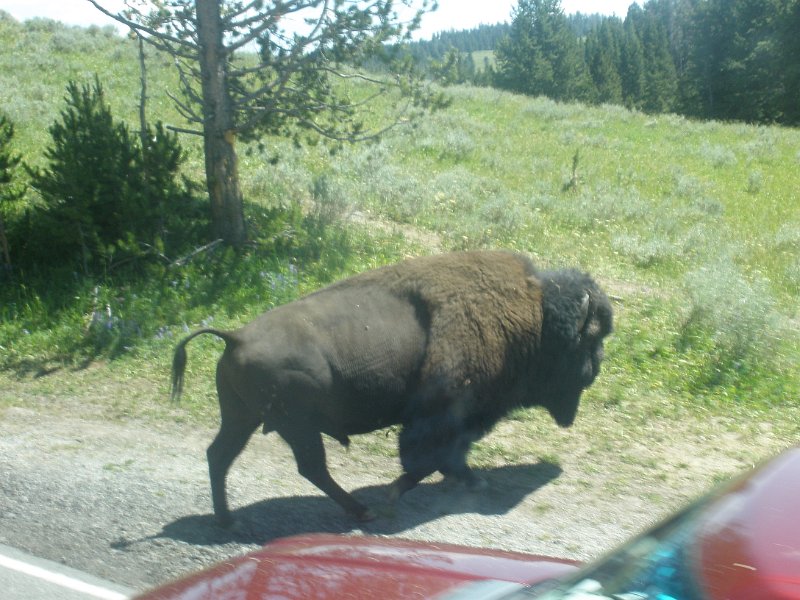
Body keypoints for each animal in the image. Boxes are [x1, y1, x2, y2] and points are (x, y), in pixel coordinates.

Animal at [171, 250, 613, 525]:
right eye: (590, 340)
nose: (596, 368)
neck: (532, 318)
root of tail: (235, 338)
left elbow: (446, 459)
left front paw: (468, 481)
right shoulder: (442, 416)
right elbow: (427, 460)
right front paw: (396, 495)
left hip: (242, 418)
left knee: (220, 455)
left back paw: (225, 520)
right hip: (294, 425)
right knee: (309, 466)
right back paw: (360, 511)